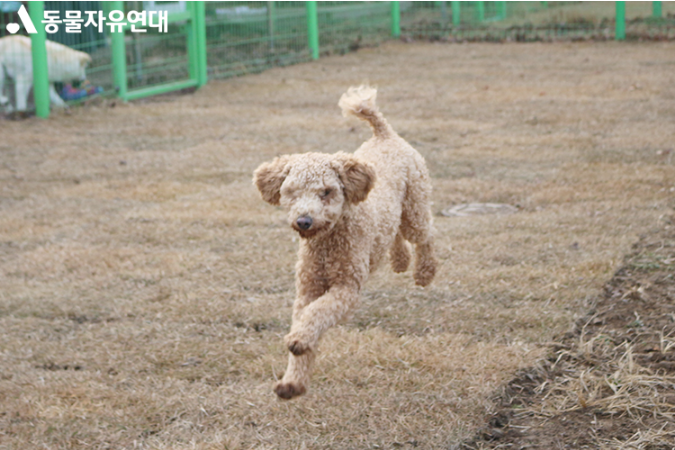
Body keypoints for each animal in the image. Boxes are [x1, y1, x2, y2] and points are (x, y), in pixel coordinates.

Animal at [254, 86, 438, 400]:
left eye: (326, 192)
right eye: (291, 192)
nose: (304, 220)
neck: (327, 243)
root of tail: (384, 134)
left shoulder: (346, 288)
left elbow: (317, 314)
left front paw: (299, 339)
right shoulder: (307, 289)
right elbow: (306, 320)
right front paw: (293, 382)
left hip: (415, 206)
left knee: (426, 234)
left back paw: (425, 272)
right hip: (394, 214)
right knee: (395, 234)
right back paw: (400, 261)